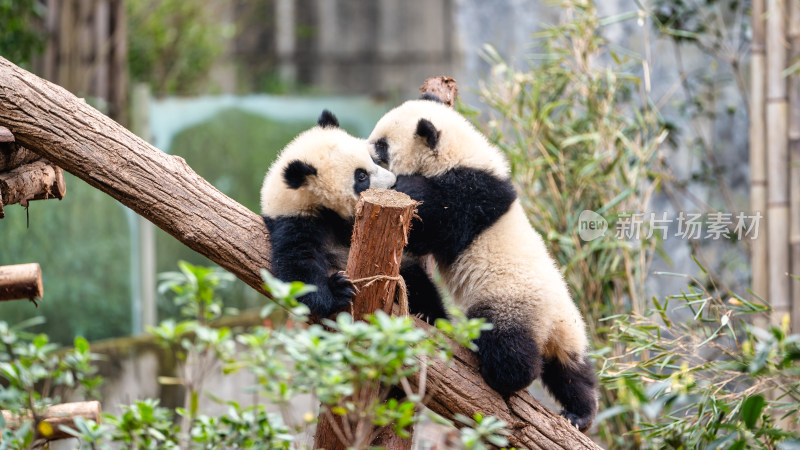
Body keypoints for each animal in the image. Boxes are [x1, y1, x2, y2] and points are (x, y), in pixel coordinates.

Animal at [264, 109, 446, 320]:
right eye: (361, 176)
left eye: (373, 159)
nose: (393, 183)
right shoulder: (295, 221)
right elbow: (298, 265)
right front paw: (337, 290)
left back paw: (428, 314)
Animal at [366, 96, 596, 430]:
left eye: (382, 147)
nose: (366, 155)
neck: (461, 155)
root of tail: (549, 323)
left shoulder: (471, 196)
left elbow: (437, 222)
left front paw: (407, 186)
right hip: (570, 330)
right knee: (571, 372)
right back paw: (580, 413)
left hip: (509, 303)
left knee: (509, 348)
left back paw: (504, 377)